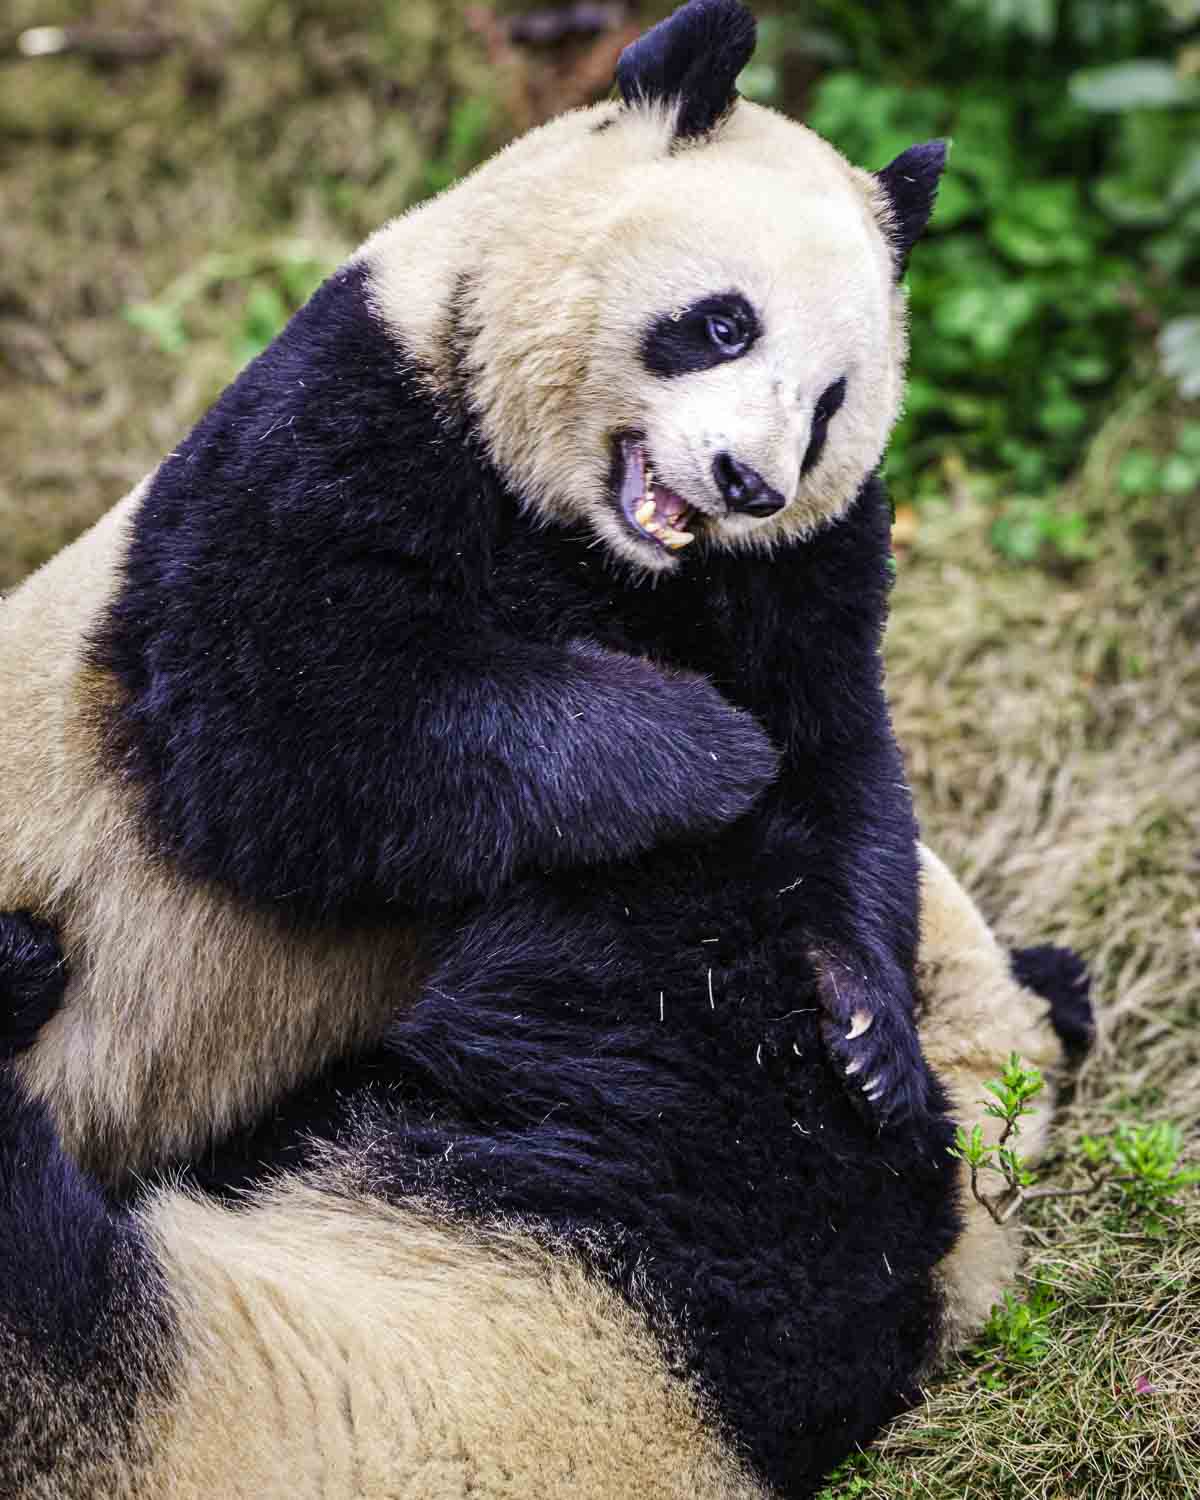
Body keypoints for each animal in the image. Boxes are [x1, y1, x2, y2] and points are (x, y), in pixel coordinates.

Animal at [0, 1, 1093, 1495]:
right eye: (719, 323)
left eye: (831, 404)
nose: (748, 484)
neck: (610, 563)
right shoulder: (346, 423)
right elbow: (274, 736)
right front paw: (709, 756)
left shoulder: (800, 579)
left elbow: (844, 766)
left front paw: (866, 1023)